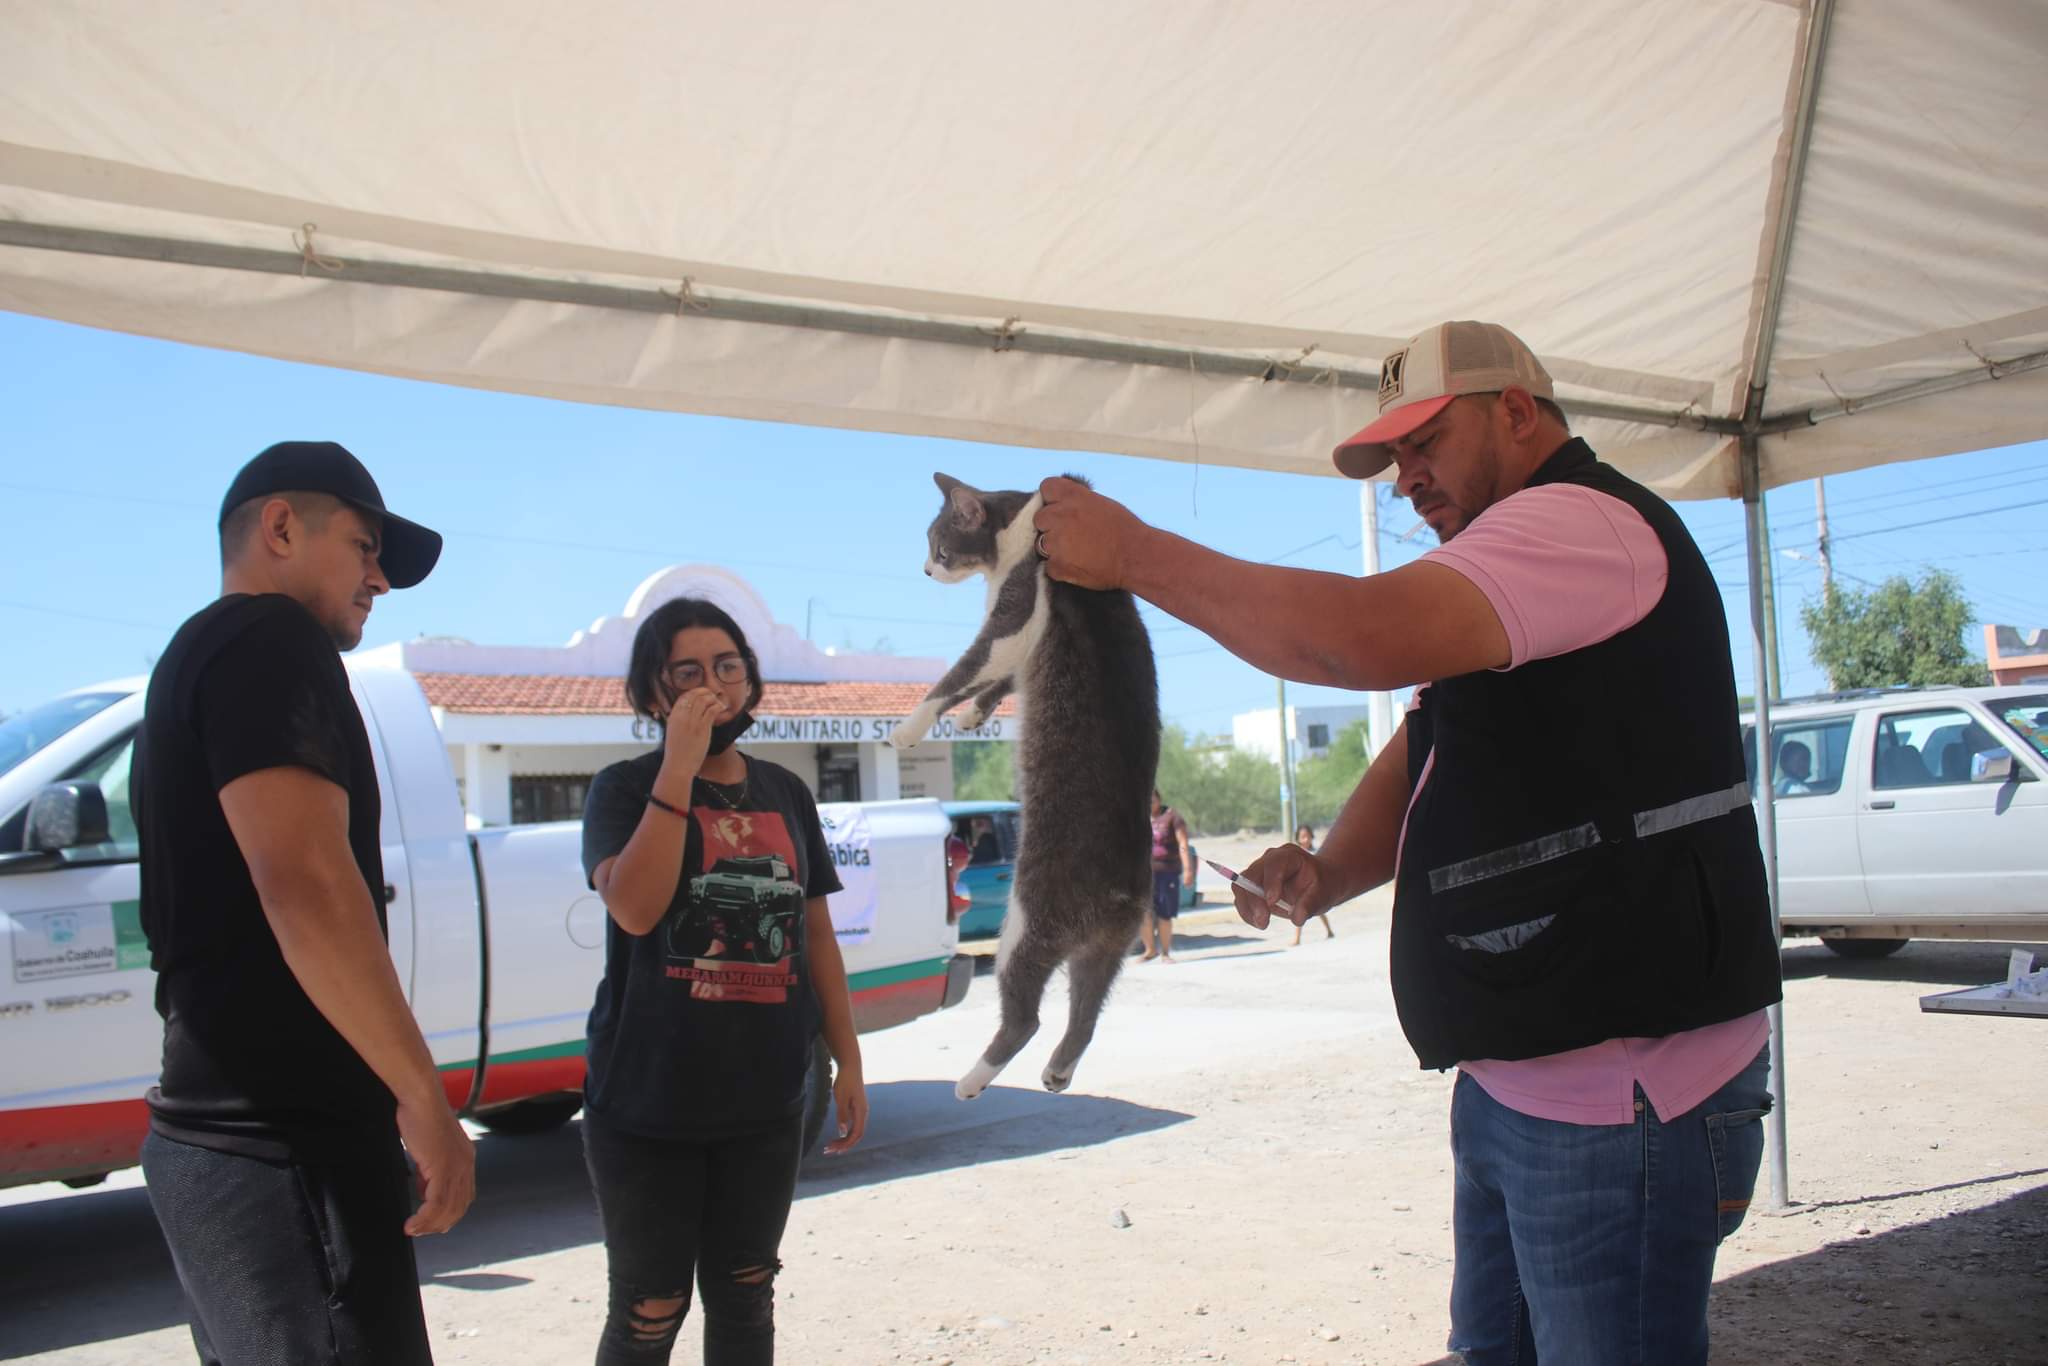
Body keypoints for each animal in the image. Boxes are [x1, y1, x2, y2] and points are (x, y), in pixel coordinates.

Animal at [888, 471, 1163, 1097]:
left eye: (939, 546)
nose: (925, 571)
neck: (1024, 526)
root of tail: (1120, 892)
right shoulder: (1018, 645)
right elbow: (998, 683)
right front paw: (973, 714)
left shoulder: (1014, 616)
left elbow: (959, 675)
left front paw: (910, 727)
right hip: (1108, 948)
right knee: (1086, 1013)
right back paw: (1059, 1068)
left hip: (1025, 925)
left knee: (1026, 1016)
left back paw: (972, 1080)